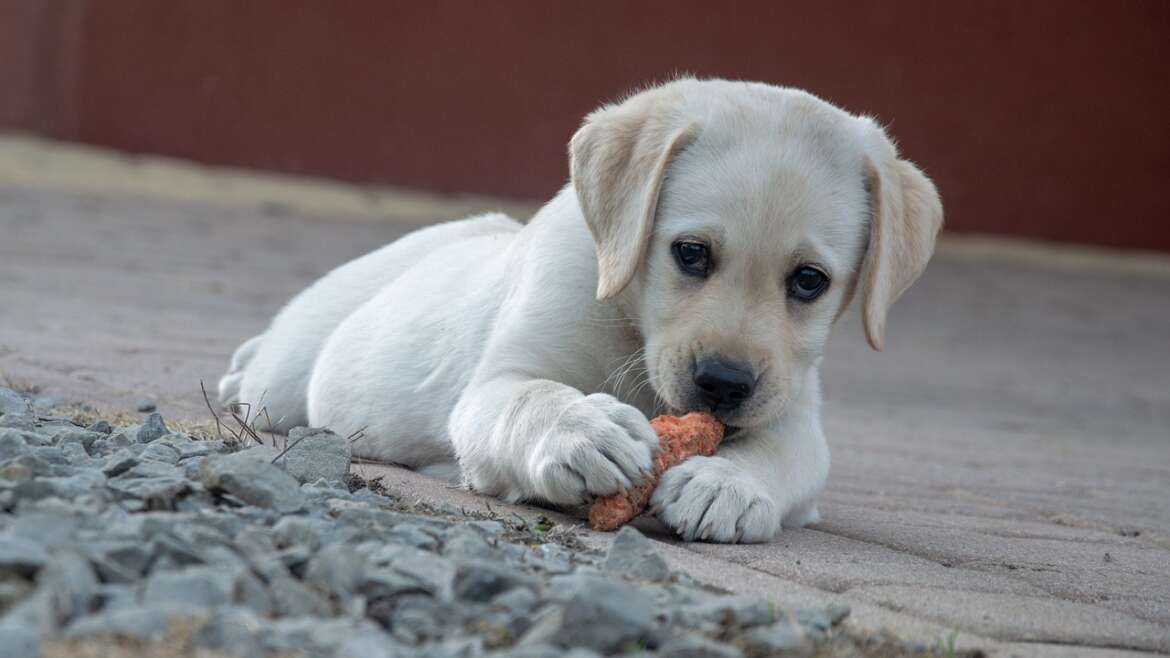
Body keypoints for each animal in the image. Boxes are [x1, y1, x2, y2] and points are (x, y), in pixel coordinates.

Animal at [219, 76, 940, 540]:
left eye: (810, 281)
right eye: (690, 253)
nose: (724, 384)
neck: (631, 327)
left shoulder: (795, 413)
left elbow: (780, 454)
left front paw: (727, 484)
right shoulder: (495, 385)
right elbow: (532, 398)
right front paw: (584, 431)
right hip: (288, 375)